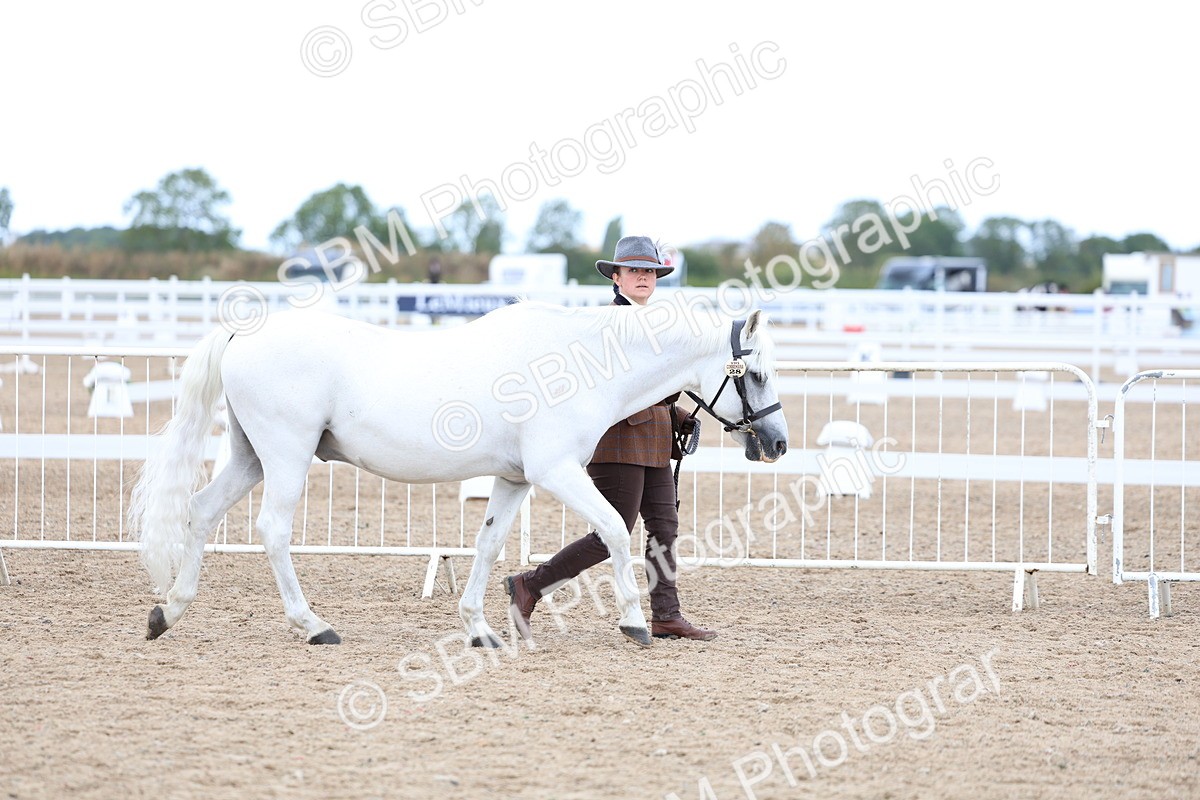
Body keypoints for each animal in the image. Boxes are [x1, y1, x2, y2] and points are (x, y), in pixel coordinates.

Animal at [129, 299, 789, 648]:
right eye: (755, 374)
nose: (779, 443)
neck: (577, 364)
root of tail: (244, 331)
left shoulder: (516, 478)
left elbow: (489, 545)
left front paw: (480, 629)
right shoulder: (557, 471)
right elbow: (612, 530)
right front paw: (633, 622)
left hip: (250, 456)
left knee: (201, 511)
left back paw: (169, 612)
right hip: (286, 457)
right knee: (272, 530)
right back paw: (313, 626)